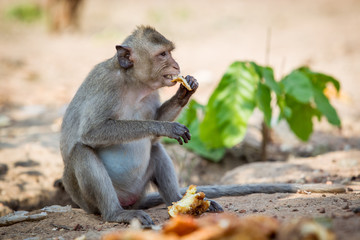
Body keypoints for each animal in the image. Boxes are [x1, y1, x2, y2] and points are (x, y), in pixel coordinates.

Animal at [60, 25, 348, 226]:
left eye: (171, 53)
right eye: (163, 55)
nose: (176, 65)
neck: (133, 84)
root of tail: (132, 200)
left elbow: (154, 132)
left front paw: (184, 91)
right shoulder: (106, 86)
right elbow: (93, 133)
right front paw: (165, 128)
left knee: (156, 152)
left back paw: (180, 202)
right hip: (88, 201)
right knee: (82, 152)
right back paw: (116, 214)